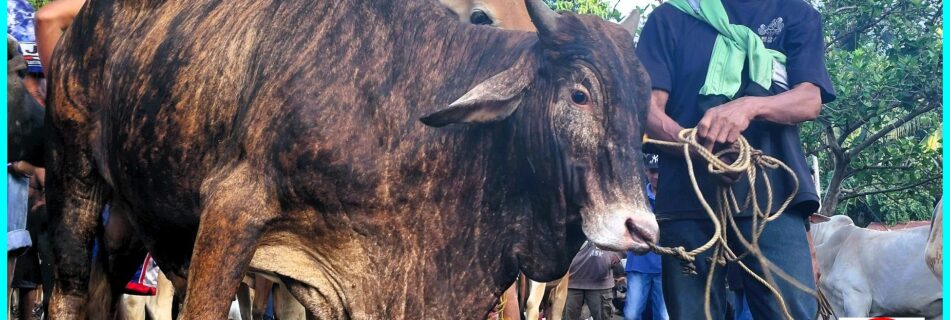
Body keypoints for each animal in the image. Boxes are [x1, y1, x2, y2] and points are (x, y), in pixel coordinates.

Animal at [48, 0, 660, 318]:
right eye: (579, 94)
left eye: (642, 102)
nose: (642, 229)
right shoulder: (232, 211)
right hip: (74, 170)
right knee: (69, 286)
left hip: (132, 218)